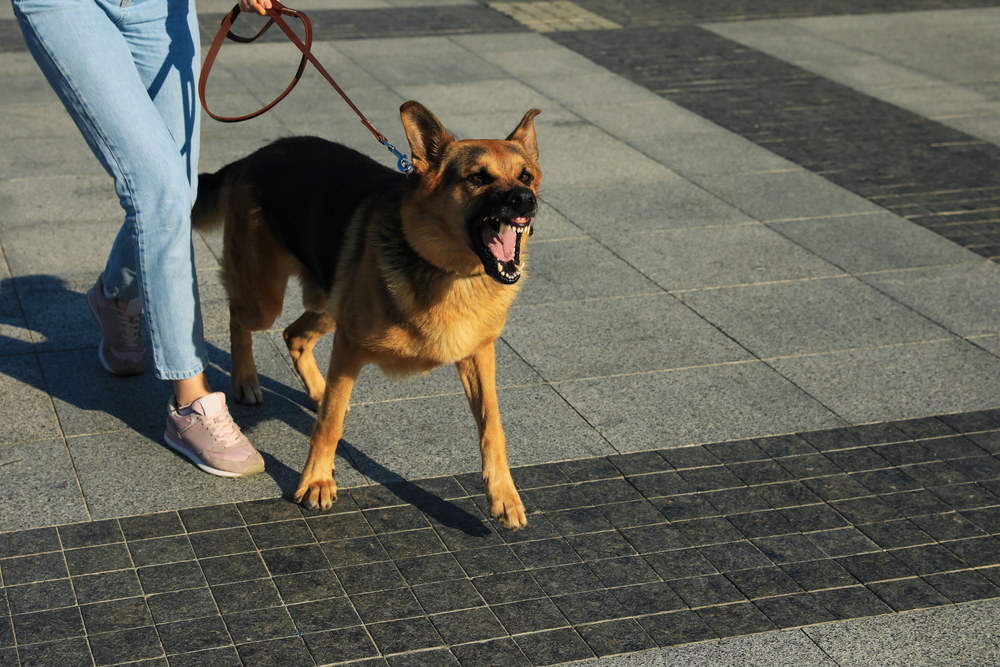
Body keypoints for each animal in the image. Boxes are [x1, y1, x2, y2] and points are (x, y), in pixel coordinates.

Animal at [191, 99, 544, 528]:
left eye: (526, 176)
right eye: (478, 177)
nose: (525, 200)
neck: (449, 272)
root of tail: (257, 155)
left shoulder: (479, 356)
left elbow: (493, 427)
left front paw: (504, 494)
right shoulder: (349, 348)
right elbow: (329, 425)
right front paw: (316, 481)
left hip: (327, 301)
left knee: (294, 336)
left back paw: (317, 389)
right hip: (267, 300)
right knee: (240, 318)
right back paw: (245, 380)